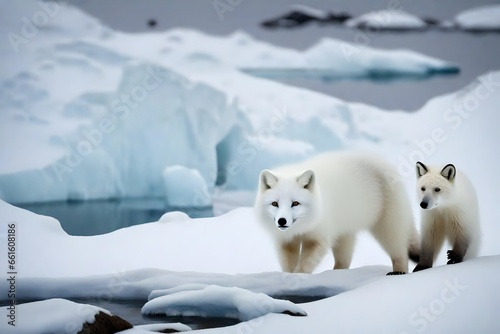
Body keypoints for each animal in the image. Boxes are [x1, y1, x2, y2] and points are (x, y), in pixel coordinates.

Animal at [252, 151, 420, 274]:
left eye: (295, 203)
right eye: (275, 203)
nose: (282, 221)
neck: (301, 228)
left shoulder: (318, 238)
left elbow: (305, 263)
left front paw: (298, 276)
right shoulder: (286, 241)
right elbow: (288, 263)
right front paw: (288, 276)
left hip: (387, 225)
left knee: (400, 250)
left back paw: (398, 271)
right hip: (345, 231)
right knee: (344, 259)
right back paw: (337, 272)